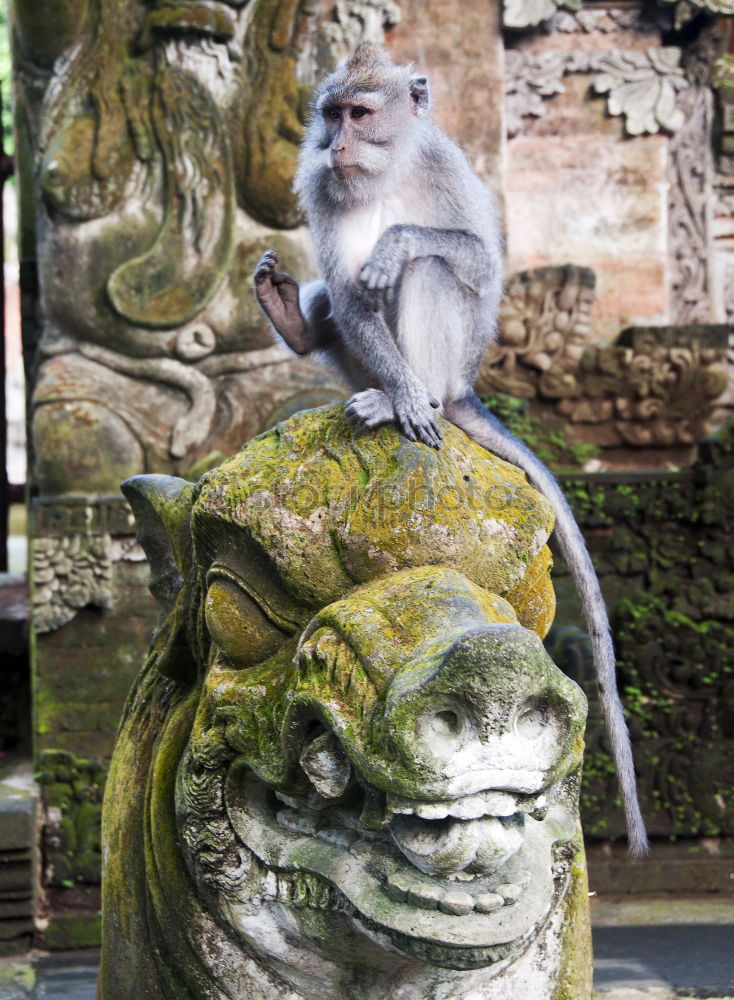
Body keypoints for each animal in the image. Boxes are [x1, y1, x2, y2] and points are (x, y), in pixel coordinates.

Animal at [254, 43, 648, 856]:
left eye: (360, 113)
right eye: (331, 114)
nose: (336, 145)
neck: (387, 168)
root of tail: (465, 387)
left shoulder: (445, 166)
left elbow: (472, 263)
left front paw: (399, 242)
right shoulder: (319, 185)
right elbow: (350, 293)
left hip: (455, 358)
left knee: (432, 270)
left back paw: (417, 392)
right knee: (346, 307)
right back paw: (337, 353)